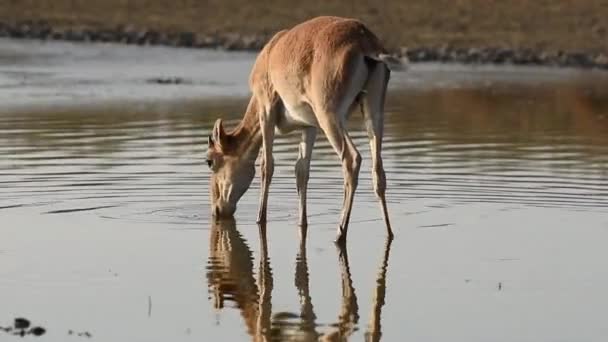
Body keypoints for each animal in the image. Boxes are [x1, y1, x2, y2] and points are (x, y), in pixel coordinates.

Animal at [207, 16, 406, 243]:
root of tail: (364, 40)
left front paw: (260, 219)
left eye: (209, 161)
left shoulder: (266, 111)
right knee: (378, 171)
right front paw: (302, 223)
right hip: (373, 111)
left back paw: (339, 233)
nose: (216, 210)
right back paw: (389, 232)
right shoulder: (308, 127)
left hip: (329, 116)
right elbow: (301, 171)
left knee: (351, 159)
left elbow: (267, 165)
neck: (270, 56)